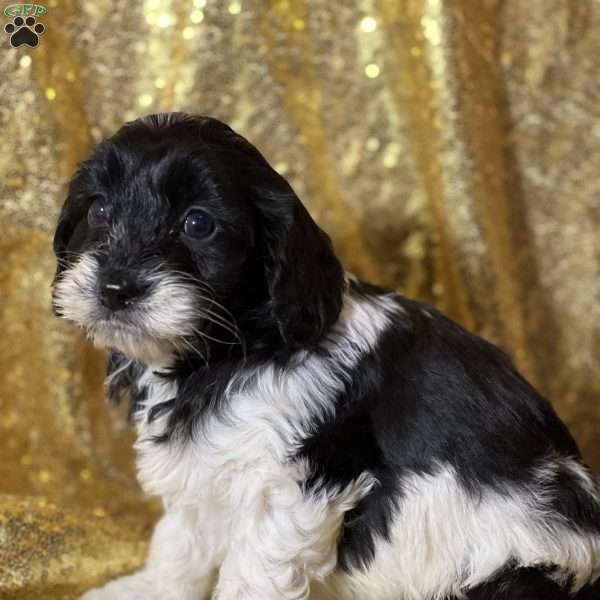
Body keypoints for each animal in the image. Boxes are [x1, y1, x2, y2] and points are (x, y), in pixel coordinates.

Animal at [51, 113, 600, 600]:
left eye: (197, 223)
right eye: (99, 211)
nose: (116, 288)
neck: (229, 354)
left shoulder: (293, 486)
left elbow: (250, 573)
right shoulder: (204, 472)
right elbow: (179, 543)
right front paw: (146, 589)